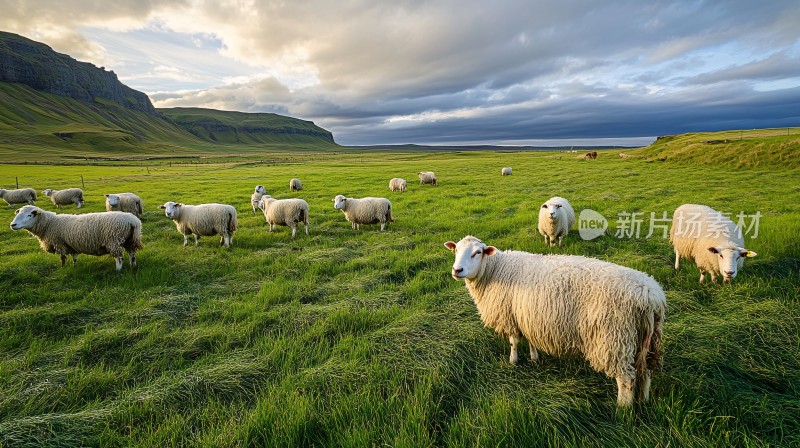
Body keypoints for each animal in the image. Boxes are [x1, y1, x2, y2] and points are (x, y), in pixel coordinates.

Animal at [9, 205, 142, 272]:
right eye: (17, 213)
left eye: (29, 215)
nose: (12, 225)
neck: (49, 224)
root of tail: (133, 221)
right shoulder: (70, 245)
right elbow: (74, 257)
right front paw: (74, 267)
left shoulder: (59, 243)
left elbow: (62, 258)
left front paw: (62, 268)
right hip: (129, 240)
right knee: (132, 254)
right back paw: (133, 266)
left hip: (113, 240)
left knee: (119, 258)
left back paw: (118, 271)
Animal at [446, 236, 664, 408]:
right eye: (456, 250)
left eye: (477, 252)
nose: (457, 270)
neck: (495, 270)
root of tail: (649, 296)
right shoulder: (528, 316)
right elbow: (530, 340)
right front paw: (534, 358)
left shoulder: (509, 316)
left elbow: (513, 342)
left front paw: (513, 362)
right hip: (649, 338)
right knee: (647, 371)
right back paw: (644, 401)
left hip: (614, 338)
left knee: (626, 379)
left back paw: (621, 410)